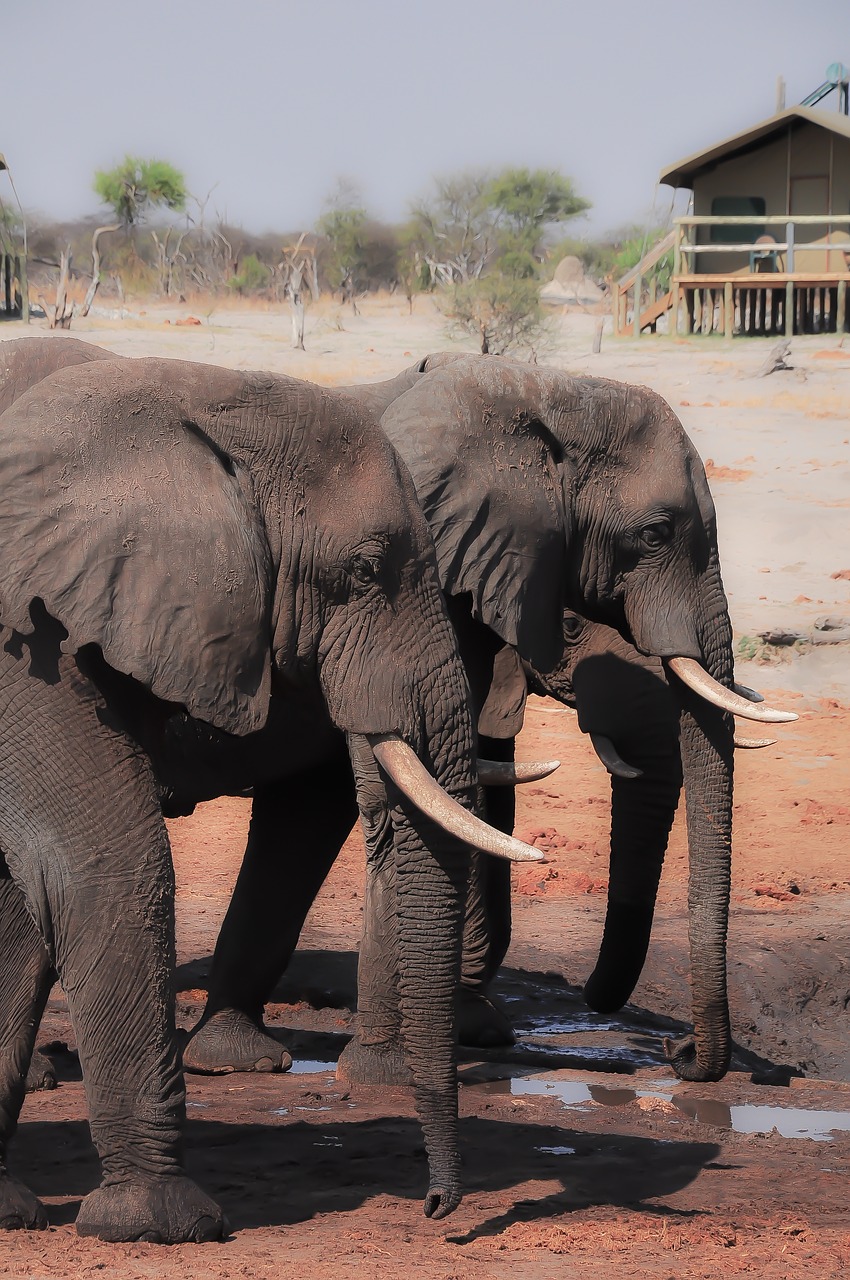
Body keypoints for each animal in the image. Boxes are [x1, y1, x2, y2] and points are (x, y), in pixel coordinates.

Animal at [0, 350, 545, 1239]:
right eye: (365, 569)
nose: (437, 1210)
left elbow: (21, 900)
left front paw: (12, 1213)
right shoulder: (29, 652)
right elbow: (102, 867)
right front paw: (163, 1224)